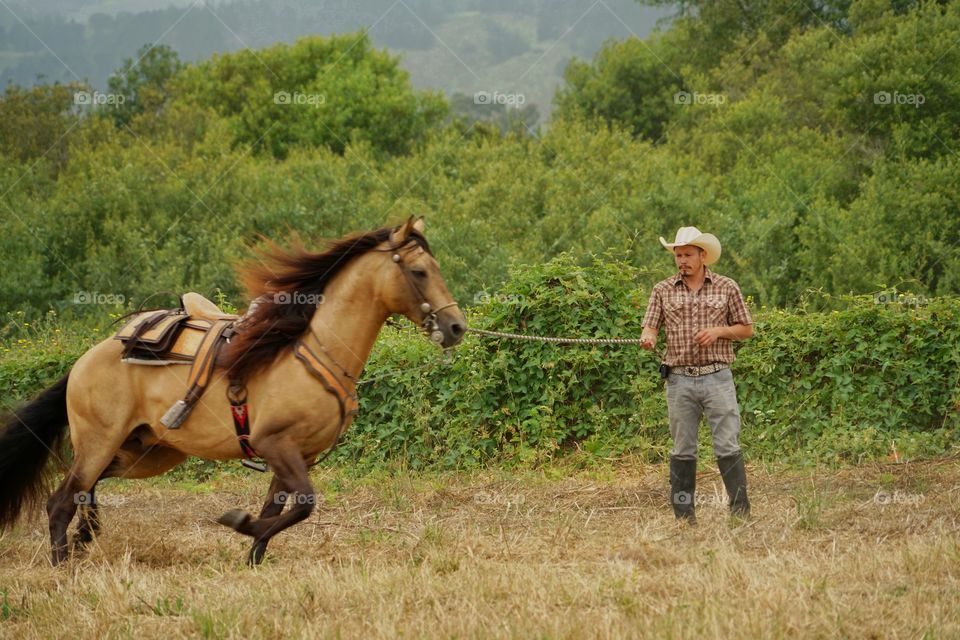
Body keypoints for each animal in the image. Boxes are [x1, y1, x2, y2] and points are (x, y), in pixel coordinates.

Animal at [0, 218, 466, 566]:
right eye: (420, 272)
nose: (456, 327)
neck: (313, 352)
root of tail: (85, 361)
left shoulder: (298, 454)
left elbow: (279, 508)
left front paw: (253, 557)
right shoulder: (275, 443)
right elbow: (303, 505)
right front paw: (237, 522)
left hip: (146, 452)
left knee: (87, 486)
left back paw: (86, 534)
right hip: (101, 441)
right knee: (61, 499)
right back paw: (62, 561)